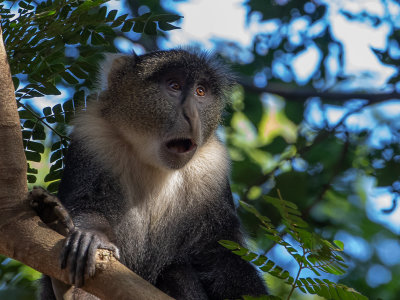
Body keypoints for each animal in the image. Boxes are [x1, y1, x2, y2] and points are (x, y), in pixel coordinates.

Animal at [39, 50, 268, 298]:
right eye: (174, 85)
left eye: (200, 91)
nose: (191, 115)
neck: (153, 162)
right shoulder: (93, 137)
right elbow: (87, 205)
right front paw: (91, 236)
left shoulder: (213, 167)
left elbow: (221, 252)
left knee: (176, 270)